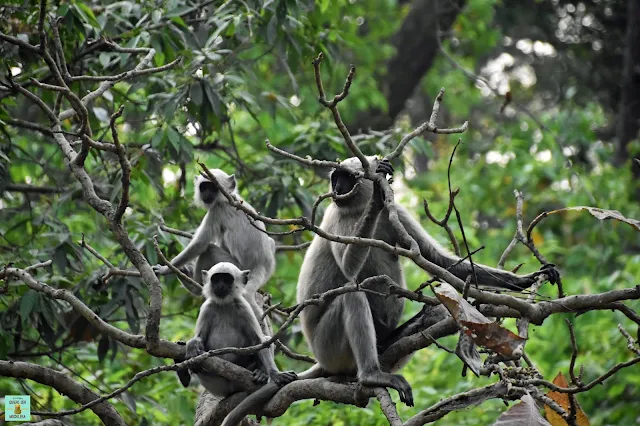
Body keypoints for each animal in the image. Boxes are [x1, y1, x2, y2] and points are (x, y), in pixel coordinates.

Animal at [184, 262, 296, 426]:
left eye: (227, 279)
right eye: (216, 279)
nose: (221, 285)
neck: (224, 305)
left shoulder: (243, 307)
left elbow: (259, 341)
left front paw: (275, 374)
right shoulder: (207, 308)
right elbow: (199, 339)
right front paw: (192, 346)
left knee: (265, 338)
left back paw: (261, 372)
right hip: (215, 384)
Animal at [296, 156, 560, 406]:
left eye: (347, 178)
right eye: (336, 178)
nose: (338, 189)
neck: (357, 209)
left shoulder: (396, 212)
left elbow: (439, 259)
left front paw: (526, 280)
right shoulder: (337, 217)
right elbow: (349, 269)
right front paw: (377, 198)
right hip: (328, 347)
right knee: (351, 292)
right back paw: (372, 375)